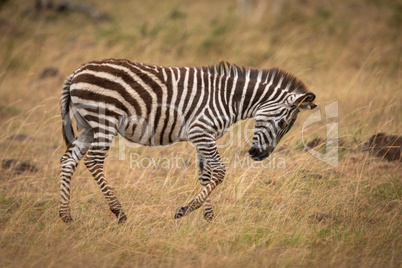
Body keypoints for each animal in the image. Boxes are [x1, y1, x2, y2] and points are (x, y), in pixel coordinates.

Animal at [59, 59, 318, 224]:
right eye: (283, 123)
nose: (260, 156)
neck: (230, 99)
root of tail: (77, 71)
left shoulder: (205, 136)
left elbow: (206, 175)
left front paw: (208, 218)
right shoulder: (200, 132)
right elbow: (220, 172)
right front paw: (184, 211)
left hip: (87, 126)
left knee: (67, 160)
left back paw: (66, 216)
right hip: (103, 121)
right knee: (93, 162)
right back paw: (119, 213)